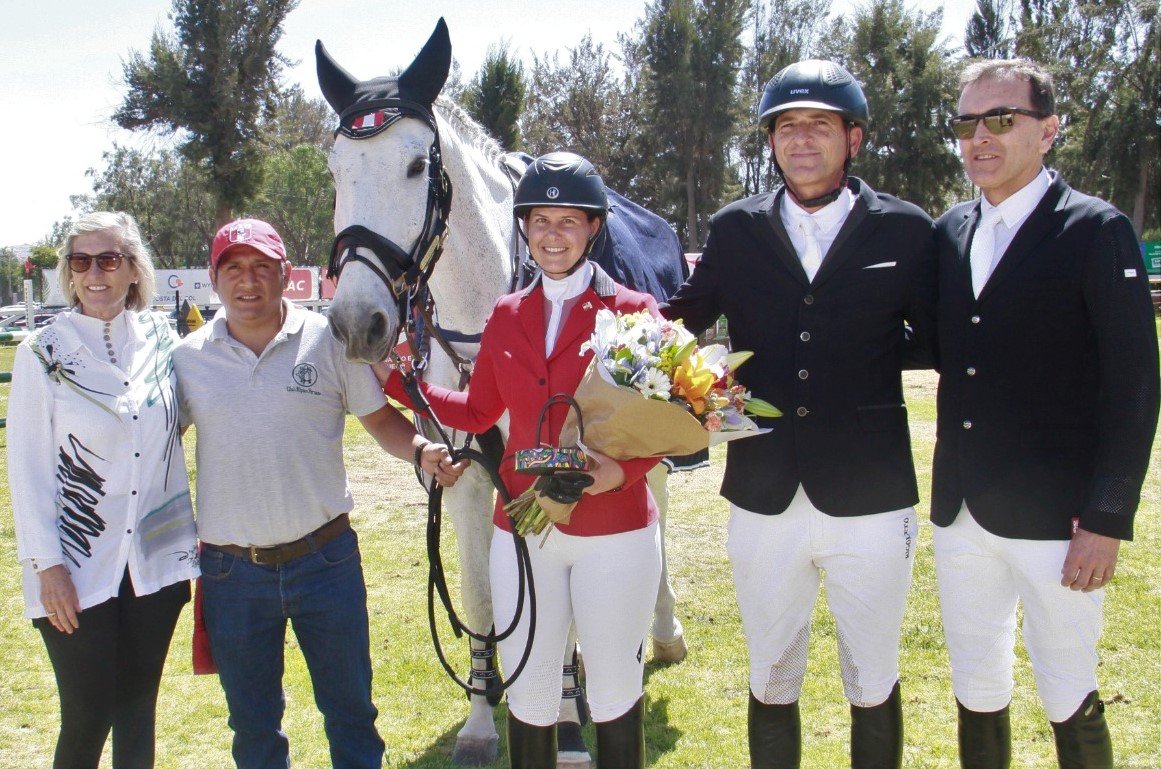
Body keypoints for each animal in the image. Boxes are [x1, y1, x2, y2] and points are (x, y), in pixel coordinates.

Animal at [315, 18, 678, 766]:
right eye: (337, 170)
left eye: (416, 166)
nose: (358, 323)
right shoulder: (467, 477)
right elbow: (483, 597)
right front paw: (484, 717)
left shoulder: (550, 474)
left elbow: (558, 608)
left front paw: (566, 719)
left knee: (652, 509)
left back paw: (660, 632)